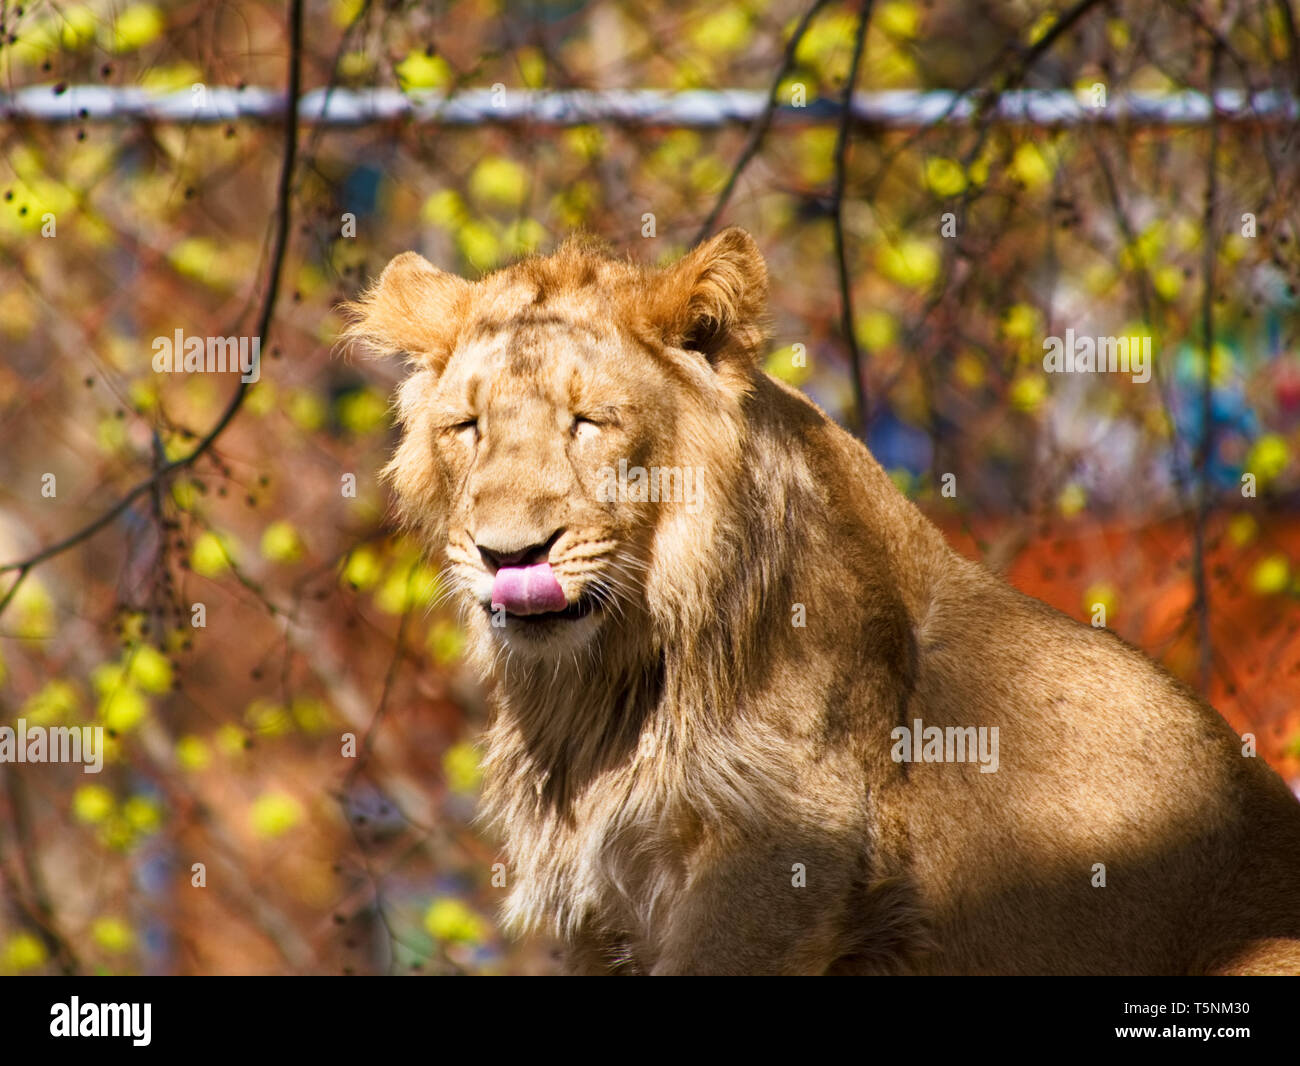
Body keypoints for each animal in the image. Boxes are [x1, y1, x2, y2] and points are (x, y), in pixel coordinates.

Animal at [343, 228, 1300, 977]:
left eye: (590, 422)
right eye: (466, 427)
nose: (508, 556)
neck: (615, 678)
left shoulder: (781, 855)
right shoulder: (604, 903)